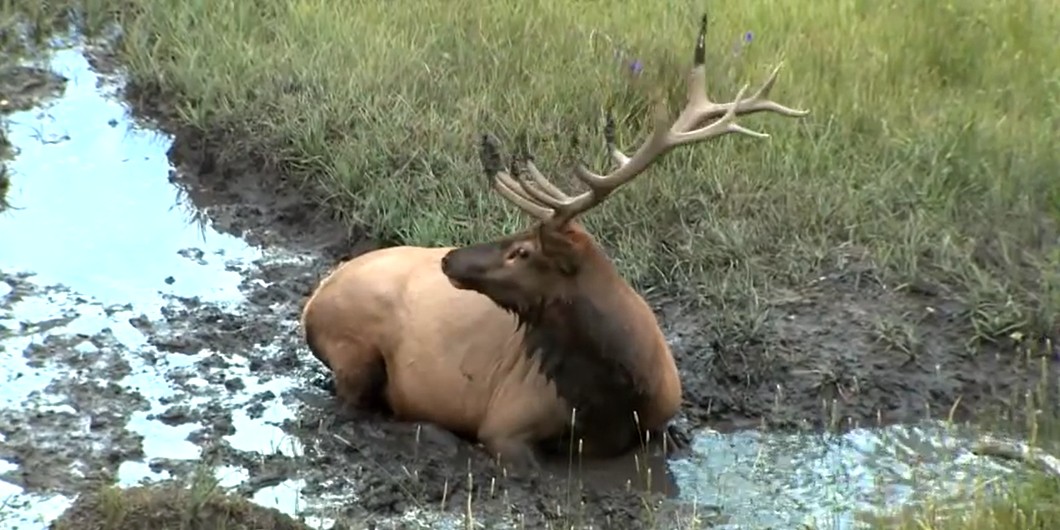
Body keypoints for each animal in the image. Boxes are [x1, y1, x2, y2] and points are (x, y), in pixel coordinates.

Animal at [303, 13, 805, 468]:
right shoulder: (506, 423)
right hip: (354, 351)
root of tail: (313, 300)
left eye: (521, 250)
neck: (616, 396)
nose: (448, 259)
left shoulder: (663, 421)